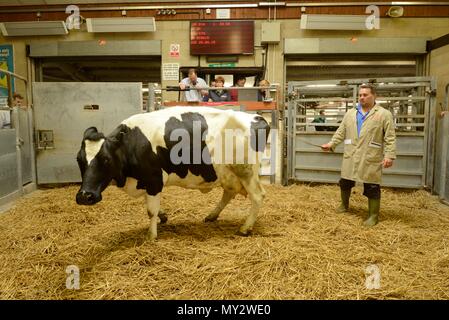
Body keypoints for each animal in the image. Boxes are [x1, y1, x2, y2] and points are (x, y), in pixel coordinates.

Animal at [76, 107, 270, 240]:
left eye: (106, 159)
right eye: (78, 159)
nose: (85, 196)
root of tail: (256, 117)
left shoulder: (154, 179)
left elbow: (150, 210)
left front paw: (151, 236)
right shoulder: (146, 181)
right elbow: (150, 205)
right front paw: (163, 217)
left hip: (245, 170)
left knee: (257, 196)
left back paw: (245, 228)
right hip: (227, 172)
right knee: (229, 192)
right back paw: (212, 216)